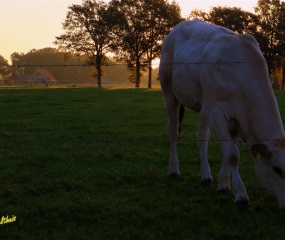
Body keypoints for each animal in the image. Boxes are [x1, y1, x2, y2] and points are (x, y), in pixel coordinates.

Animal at [159, 19, 284, 208]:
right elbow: (232, 154)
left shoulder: (238, 118)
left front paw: (224, 184)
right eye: (277, 169)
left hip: (203, 104)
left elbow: (229, 150)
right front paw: (241, 195)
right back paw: (174, 170)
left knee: (202, 136)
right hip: (170, 93)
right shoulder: (216, 112)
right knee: (173, 131)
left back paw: (206, 177)